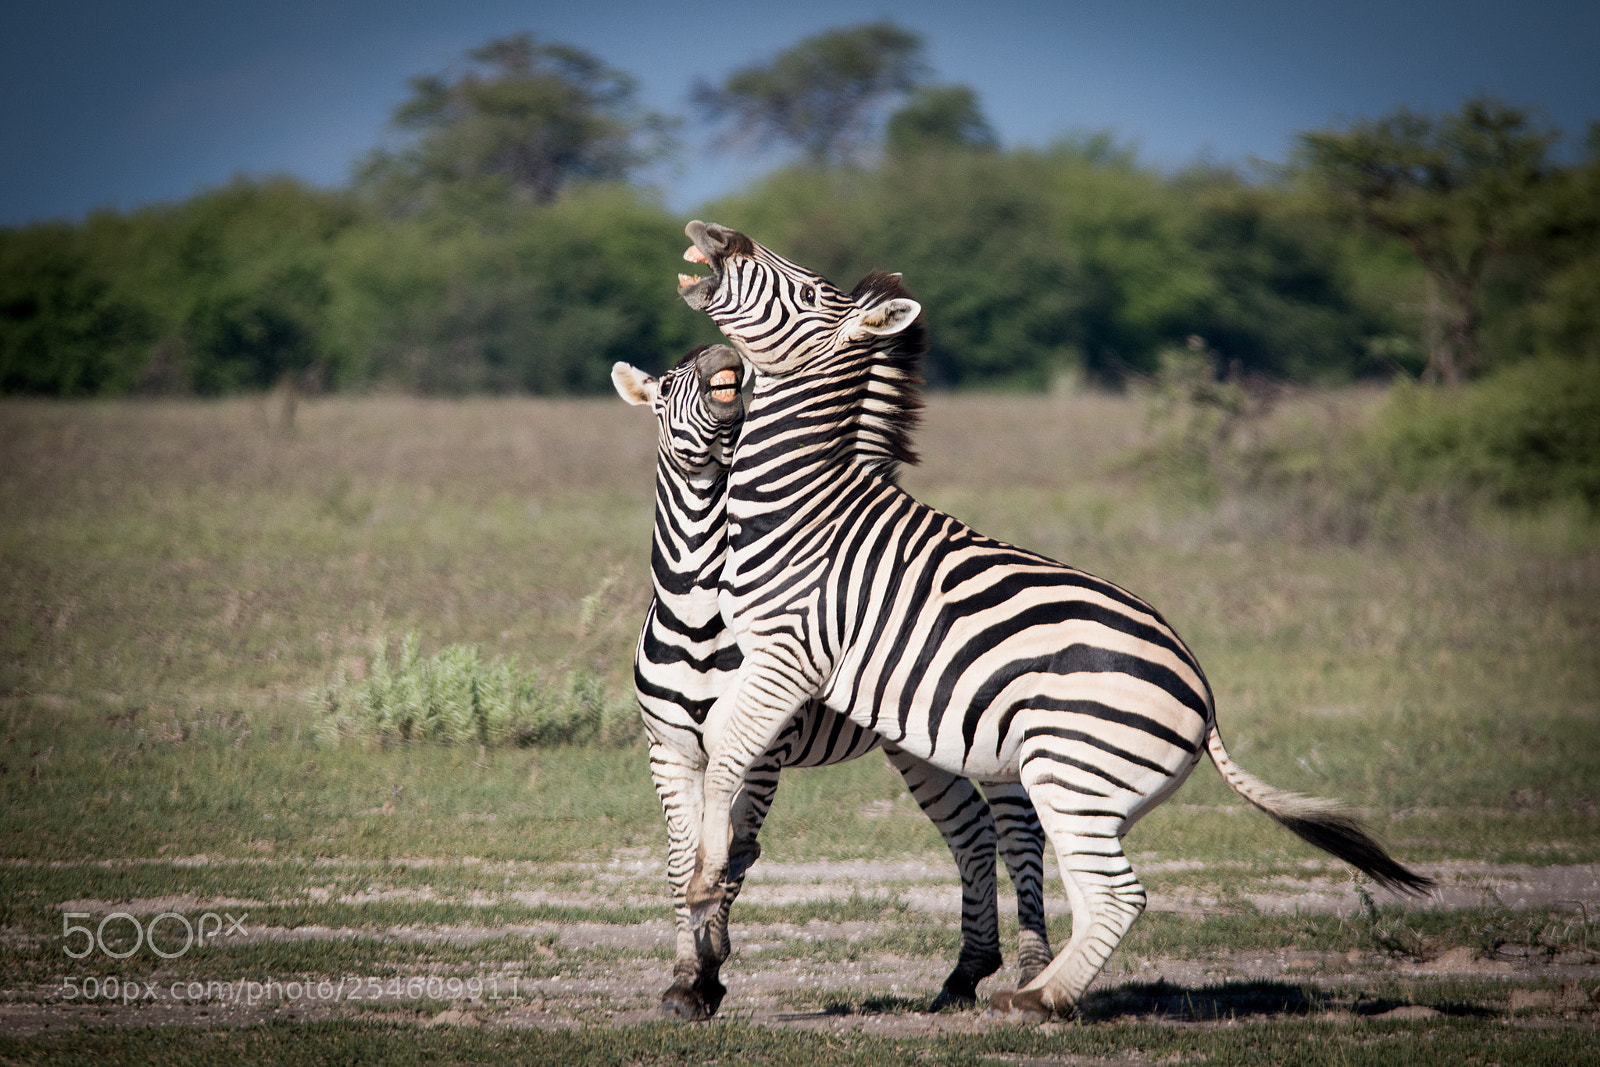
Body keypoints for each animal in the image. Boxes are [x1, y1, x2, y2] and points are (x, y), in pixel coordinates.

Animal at [611, 342, 1053, 1020]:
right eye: (663, 388)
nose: (721, 355)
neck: (700, 614)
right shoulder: (670, 752)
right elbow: (684, 862)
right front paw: (686, 979)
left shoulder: (762, 753)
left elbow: (733, 854)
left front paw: (708, 974)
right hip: (921, 745)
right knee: (973, 834)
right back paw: (963, 975)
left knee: (1016, 832)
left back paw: (1030, 972)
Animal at [673, 221, 1434, 1019]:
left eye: (810, 291)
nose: (718, 233)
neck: (805, 505)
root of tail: (1203, 690)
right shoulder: (768, 658)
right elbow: (715, 748)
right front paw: (708, 886)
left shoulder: (790, 653)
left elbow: (727, 752)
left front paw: (705, 882)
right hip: (1088, 791)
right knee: (1097, 891)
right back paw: (1040, 989)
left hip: (1068, 771)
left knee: (1119, 895)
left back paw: (1038, 1000)